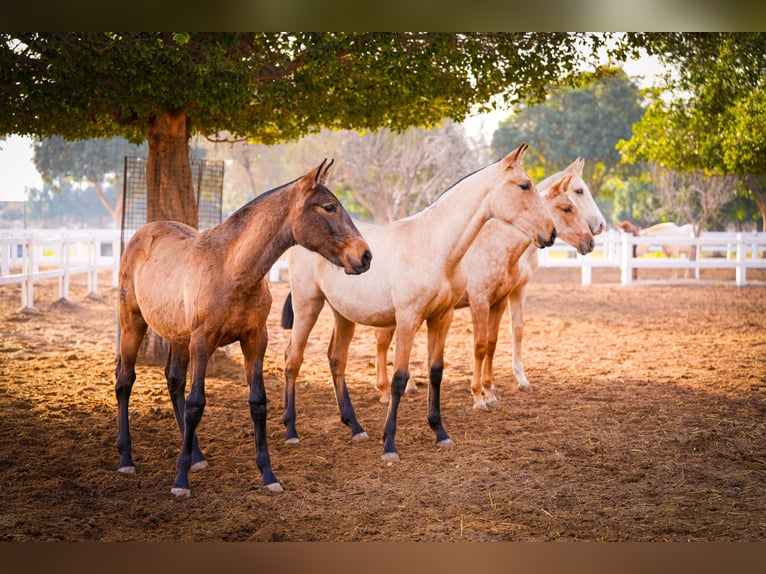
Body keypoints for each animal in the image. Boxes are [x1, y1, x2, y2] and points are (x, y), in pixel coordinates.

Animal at [115, 161, 376, 500]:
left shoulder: (255, 340)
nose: (365, 255)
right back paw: (126, 458)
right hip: (133, 321)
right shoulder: (202, 342)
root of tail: (143, 233)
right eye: (329, 207)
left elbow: (258, 403)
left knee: (173, 381)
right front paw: (180, 481)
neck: (232, 269)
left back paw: (196, 455)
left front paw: (268, 474)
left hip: (178, 336)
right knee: (125, 380)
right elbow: (197, 403)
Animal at [282, 143, 560, 464]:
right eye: (524, 185)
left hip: (343, 314)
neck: (436, 248)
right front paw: (389, 445)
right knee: (293, 360)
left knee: (336, 360)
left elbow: (436, 372)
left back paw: (355, 427)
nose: (551, 233)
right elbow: (400, 378)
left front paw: (440, 433)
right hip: (308, 305)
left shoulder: (441, 318)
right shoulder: (408, 320)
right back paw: (291, 430)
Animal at [376, 158, 608, 410]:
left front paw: (491, 392)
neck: (497, 244)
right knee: (384, 342)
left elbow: (493, 343)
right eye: (569, 205)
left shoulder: (501, 299)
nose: (591, 240)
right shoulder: (480, 302)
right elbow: (479, 346)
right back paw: (386, 391)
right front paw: (478, 396)